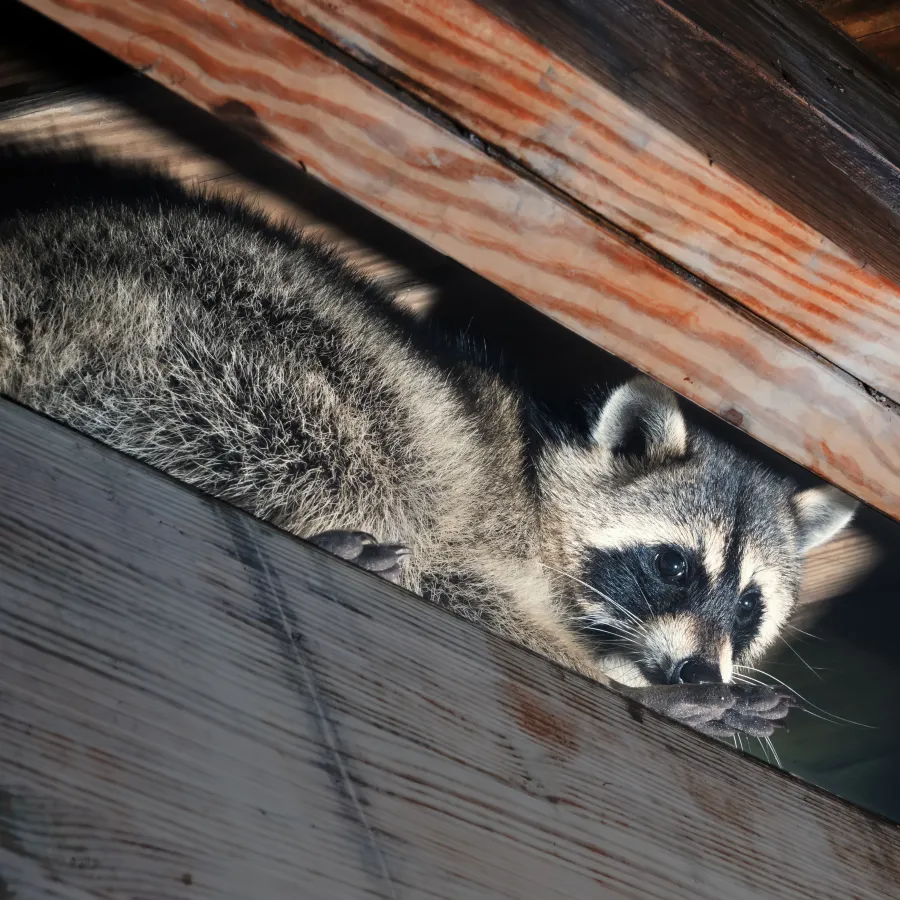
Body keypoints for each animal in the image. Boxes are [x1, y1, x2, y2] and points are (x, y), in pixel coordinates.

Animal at [0, 146, 856, 740]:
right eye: (674, 566)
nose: (695, 668)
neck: (541, 479)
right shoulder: (483, 524)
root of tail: (33, 261)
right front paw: (630, 686)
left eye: (748, 605)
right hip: (209, 337)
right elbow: (456, 580)